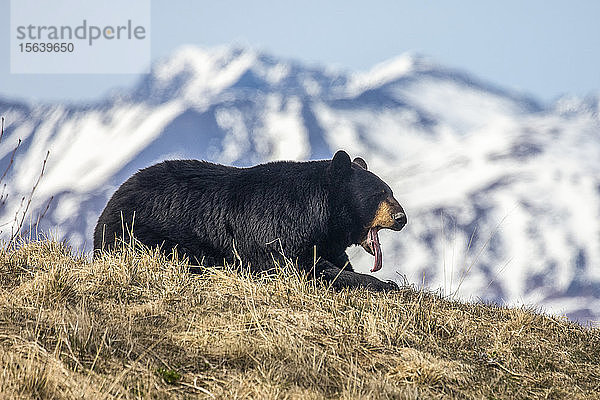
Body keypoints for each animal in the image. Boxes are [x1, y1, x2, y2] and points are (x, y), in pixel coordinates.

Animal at [94, 150, 408, 290]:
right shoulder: (277, 230)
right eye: (379, 193)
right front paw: (383, 284)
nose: (401, 218)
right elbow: (303, 268)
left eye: (391, 190)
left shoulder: (326, 241)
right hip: (140, 232)